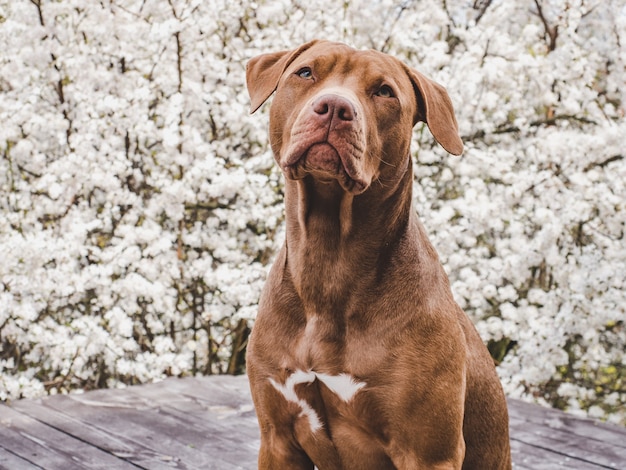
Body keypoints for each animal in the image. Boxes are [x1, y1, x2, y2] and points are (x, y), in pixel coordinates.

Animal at [243, 41, 508, 470]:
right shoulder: (277, 437)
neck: (329, 256)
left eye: (384, 92)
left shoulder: (428, 452)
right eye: (305, 73)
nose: (334, 107)